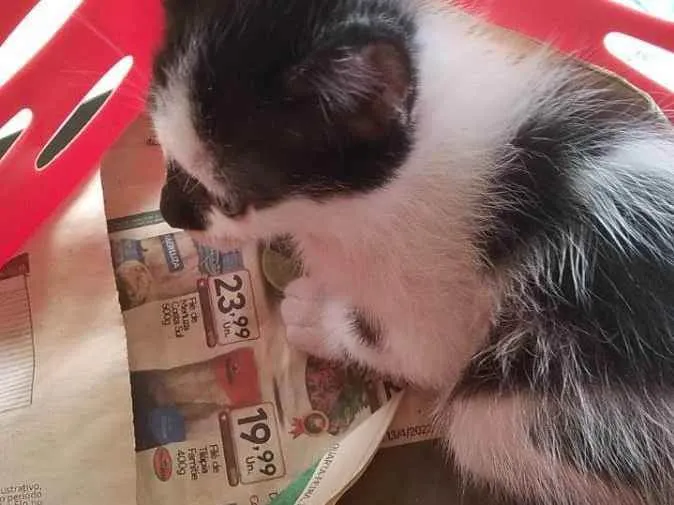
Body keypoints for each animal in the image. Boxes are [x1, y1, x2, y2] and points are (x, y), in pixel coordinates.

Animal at [149, 0, 674, 503]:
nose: (168, 212)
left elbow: (403, 347)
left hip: (513, 412)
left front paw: (312, 314)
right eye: (163, 151)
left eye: (228, 201)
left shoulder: (442, 305)